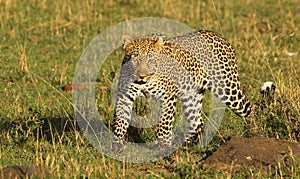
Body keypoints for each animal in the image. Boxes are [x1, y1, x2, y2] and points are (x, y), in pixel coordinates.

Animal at [113, 29, 276, 147]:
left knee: (249, 107)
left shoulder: (167, 97)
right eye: (135, 58)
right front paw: (116, 147)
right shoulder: (124, 96)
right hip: (191, 94)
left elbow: (164, 124)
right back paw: (181, 144)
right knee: (197, 123)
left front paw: (162, 147)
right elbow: (120, 122)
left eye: (151, 60)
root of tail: (220, 36)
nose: (142, 76)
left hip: (227, 89)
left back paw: (252, 133)